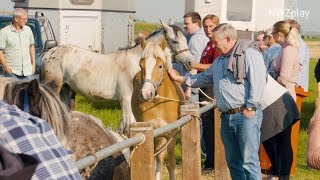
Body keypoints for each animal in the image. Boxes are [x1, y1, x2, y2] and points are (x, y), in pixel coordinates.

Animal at [41, 21, 194, 135]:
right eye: (175, 41)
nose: (190, 63)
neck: (135, 64)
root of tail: (48, 53)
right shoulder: (126, 100)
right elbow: (126, 127)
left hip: (65, 90)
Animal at [131, 38, 185, 180]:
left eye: (160, 66)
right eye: (141, 65)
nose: (146, 93)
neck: (159, 104)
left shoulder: (171, 133)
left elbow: (170, 162)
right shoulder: (152, 132)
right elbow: (153, 159)